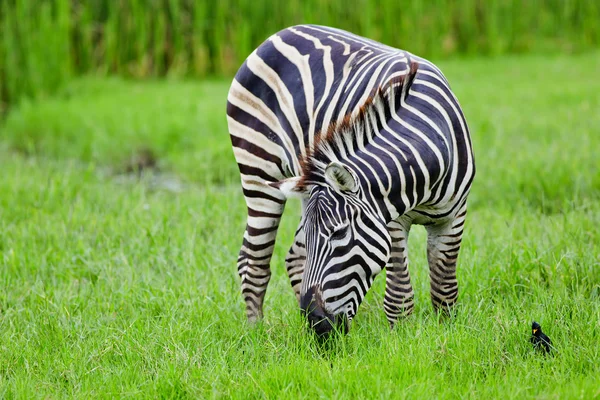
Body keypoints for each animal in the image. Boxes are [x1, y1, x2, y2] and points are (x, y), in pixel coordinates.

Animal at [227, 24, 476, 334]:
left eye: (340, 233)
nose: (317, 323)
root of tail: (279, 34)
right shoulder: (391, 222)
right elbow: (399, 294)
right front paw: (403, 338)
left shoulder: (454, 217)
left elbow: (444, 289)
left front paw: (446, 332)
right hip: (258, 168)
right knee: (253, 261)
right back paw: (256, 332)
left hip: (305, 186)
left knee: (294, 258)